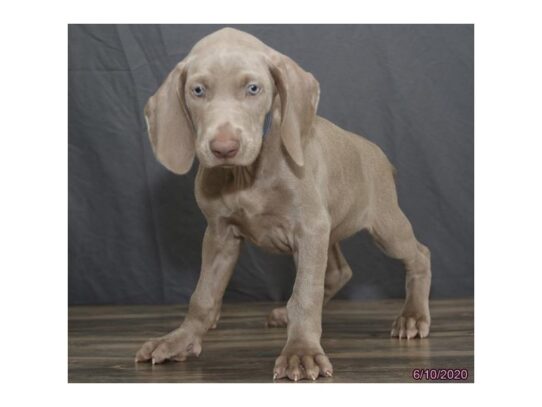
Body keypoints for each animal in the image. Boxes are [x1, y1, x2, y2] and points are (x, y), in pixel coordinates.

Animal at [136, 27, 434, 380]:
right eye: (197, 90)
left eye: (253, 88)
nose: (224, 148)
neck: (248, 174)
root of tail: (377, 152)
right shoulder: (220, 235)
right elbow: (203, 296)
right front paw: (180, 340)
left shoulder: (310, 228)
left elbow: (305, 294)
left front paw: (301, 352)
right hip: (327, 231)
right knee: (338, 271)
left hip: (385, 226)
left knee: (418, 254)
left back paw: (413, 317)